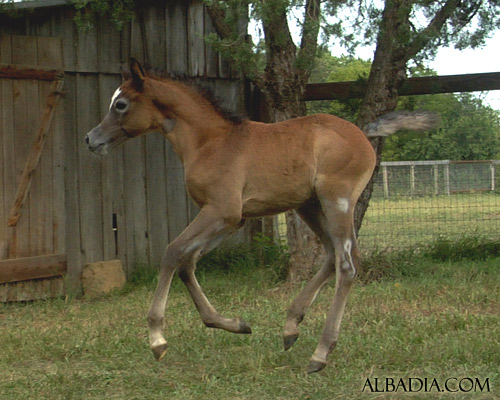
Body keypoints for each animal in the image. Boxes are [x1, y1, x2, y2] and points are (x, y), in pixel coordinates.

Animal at [86, 58, 438, 372]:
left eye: (121, 104)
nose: (91, 139)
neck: (210, 142)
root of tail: (363, 134)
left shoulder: (222, 211)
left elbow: (173, 253)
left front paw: (157, 338)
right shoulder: (231, 219)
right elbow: (188, 262)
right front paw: (233, 324)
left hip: (336, 201)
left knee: (347, 265)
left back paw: (320, 353)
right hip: (309, 206)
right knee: (331, 255)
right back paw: (291, 326)